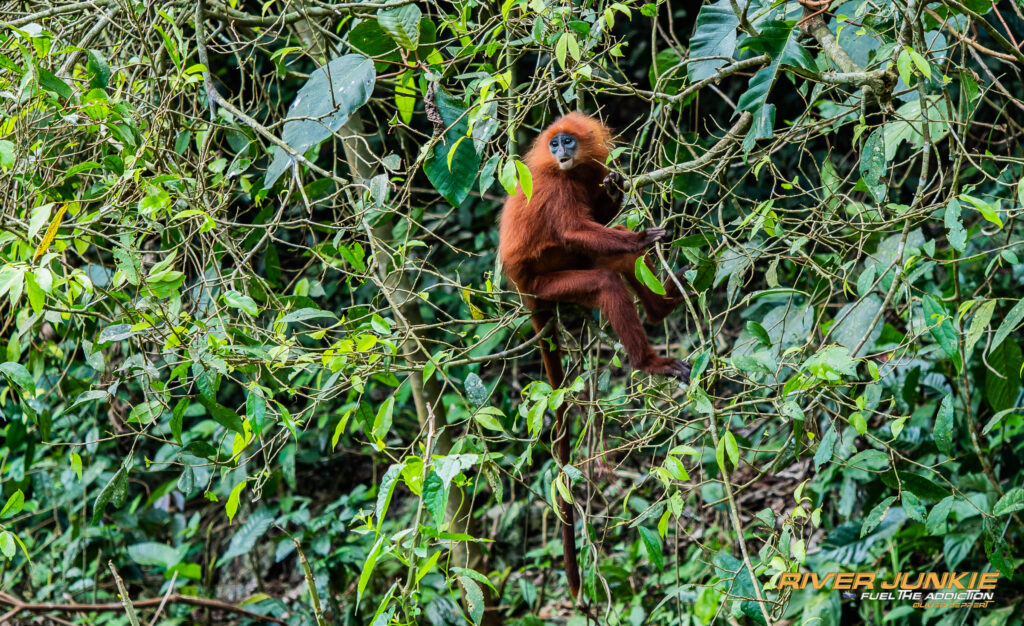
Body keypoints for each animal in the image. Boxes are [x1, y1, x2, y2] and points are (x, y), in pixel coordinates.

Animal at [497, 112, 691, 600]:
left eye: (568, 141)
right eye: (555, 144)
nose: (561, 151)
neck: (570, 171)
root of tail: (522, 284)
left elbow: (601, 214)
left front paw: (616, 187)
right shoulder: (552, 184)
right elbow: (575, 228)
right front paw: (642, 235)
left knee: (612, 259)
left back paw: (661, 308)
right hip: (551, 282)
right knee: (604, 275)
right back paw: (649, 361)